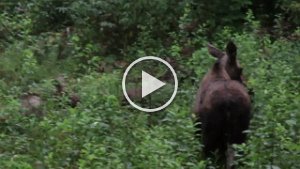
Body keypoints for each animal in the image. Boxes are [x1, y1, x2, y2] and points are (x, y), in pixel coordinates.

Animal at [192, 41, 251, 169]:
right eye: (241, 69)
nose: (250, 88)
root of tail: (228, 103)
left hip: (210, 132)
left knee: (208, 156)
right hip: (241, 132)